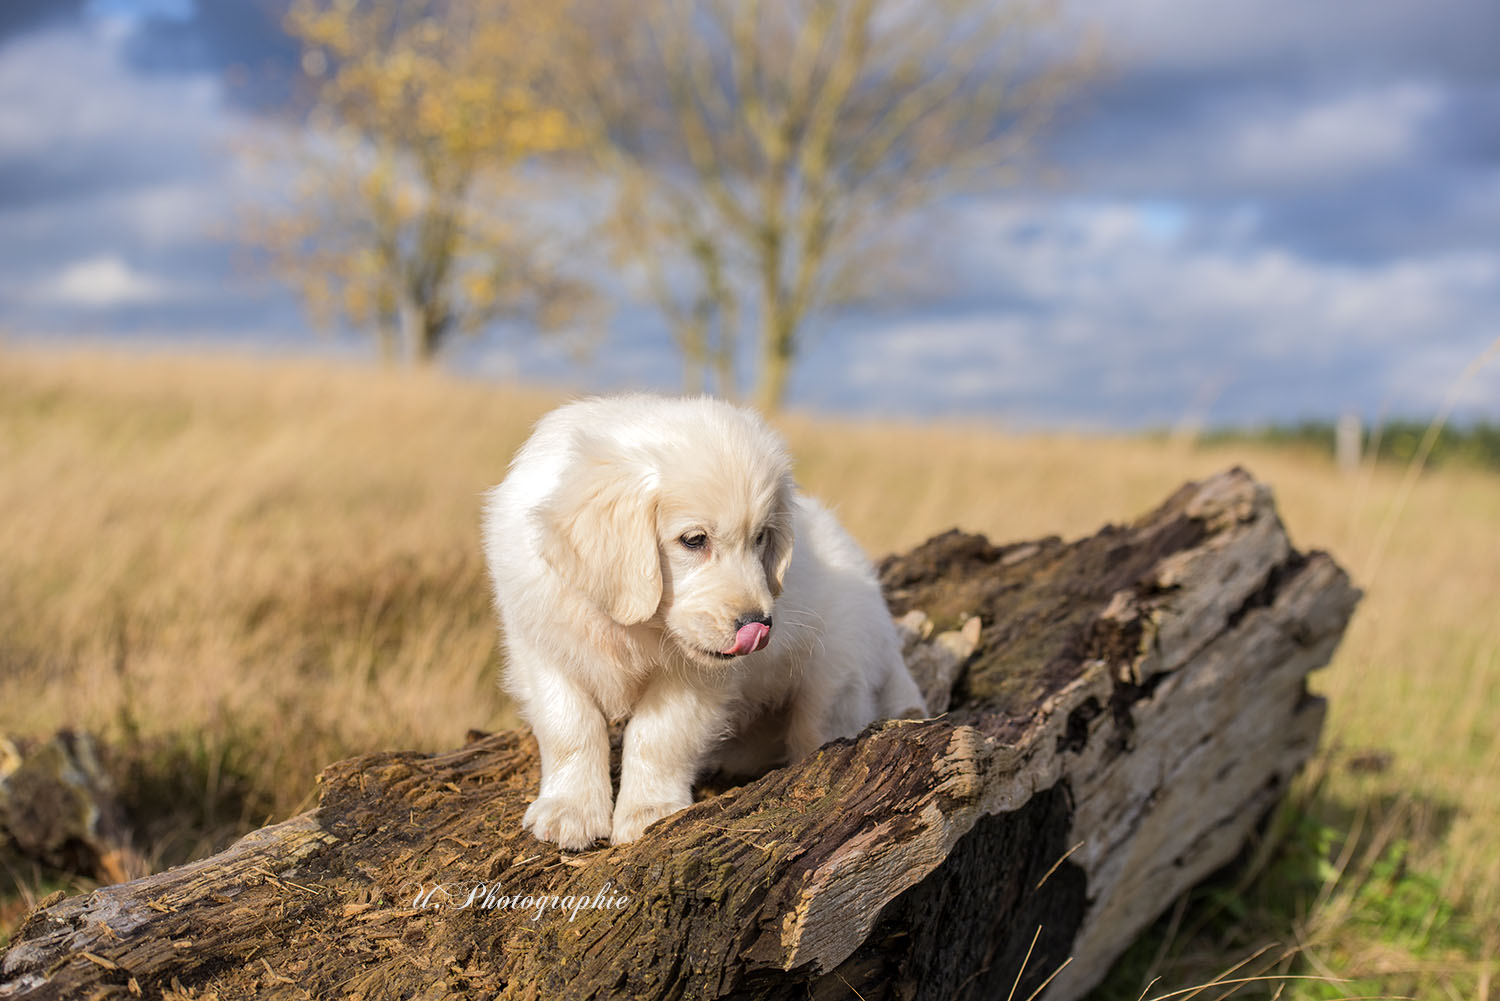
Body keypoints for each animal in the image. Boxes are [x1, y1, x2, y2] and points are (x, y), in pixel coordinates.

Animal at [480, 396, 924, 852]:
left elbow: (657, 738)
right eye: (694, 540)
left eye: (761, 537)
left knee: (820, 726)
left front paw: (649, 811)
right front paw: (570, 810)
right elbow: (569, 728)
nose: (760, 626)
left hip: (834, 675)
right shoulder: (544, 649)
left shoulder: (693, 680)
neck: (632, 626)